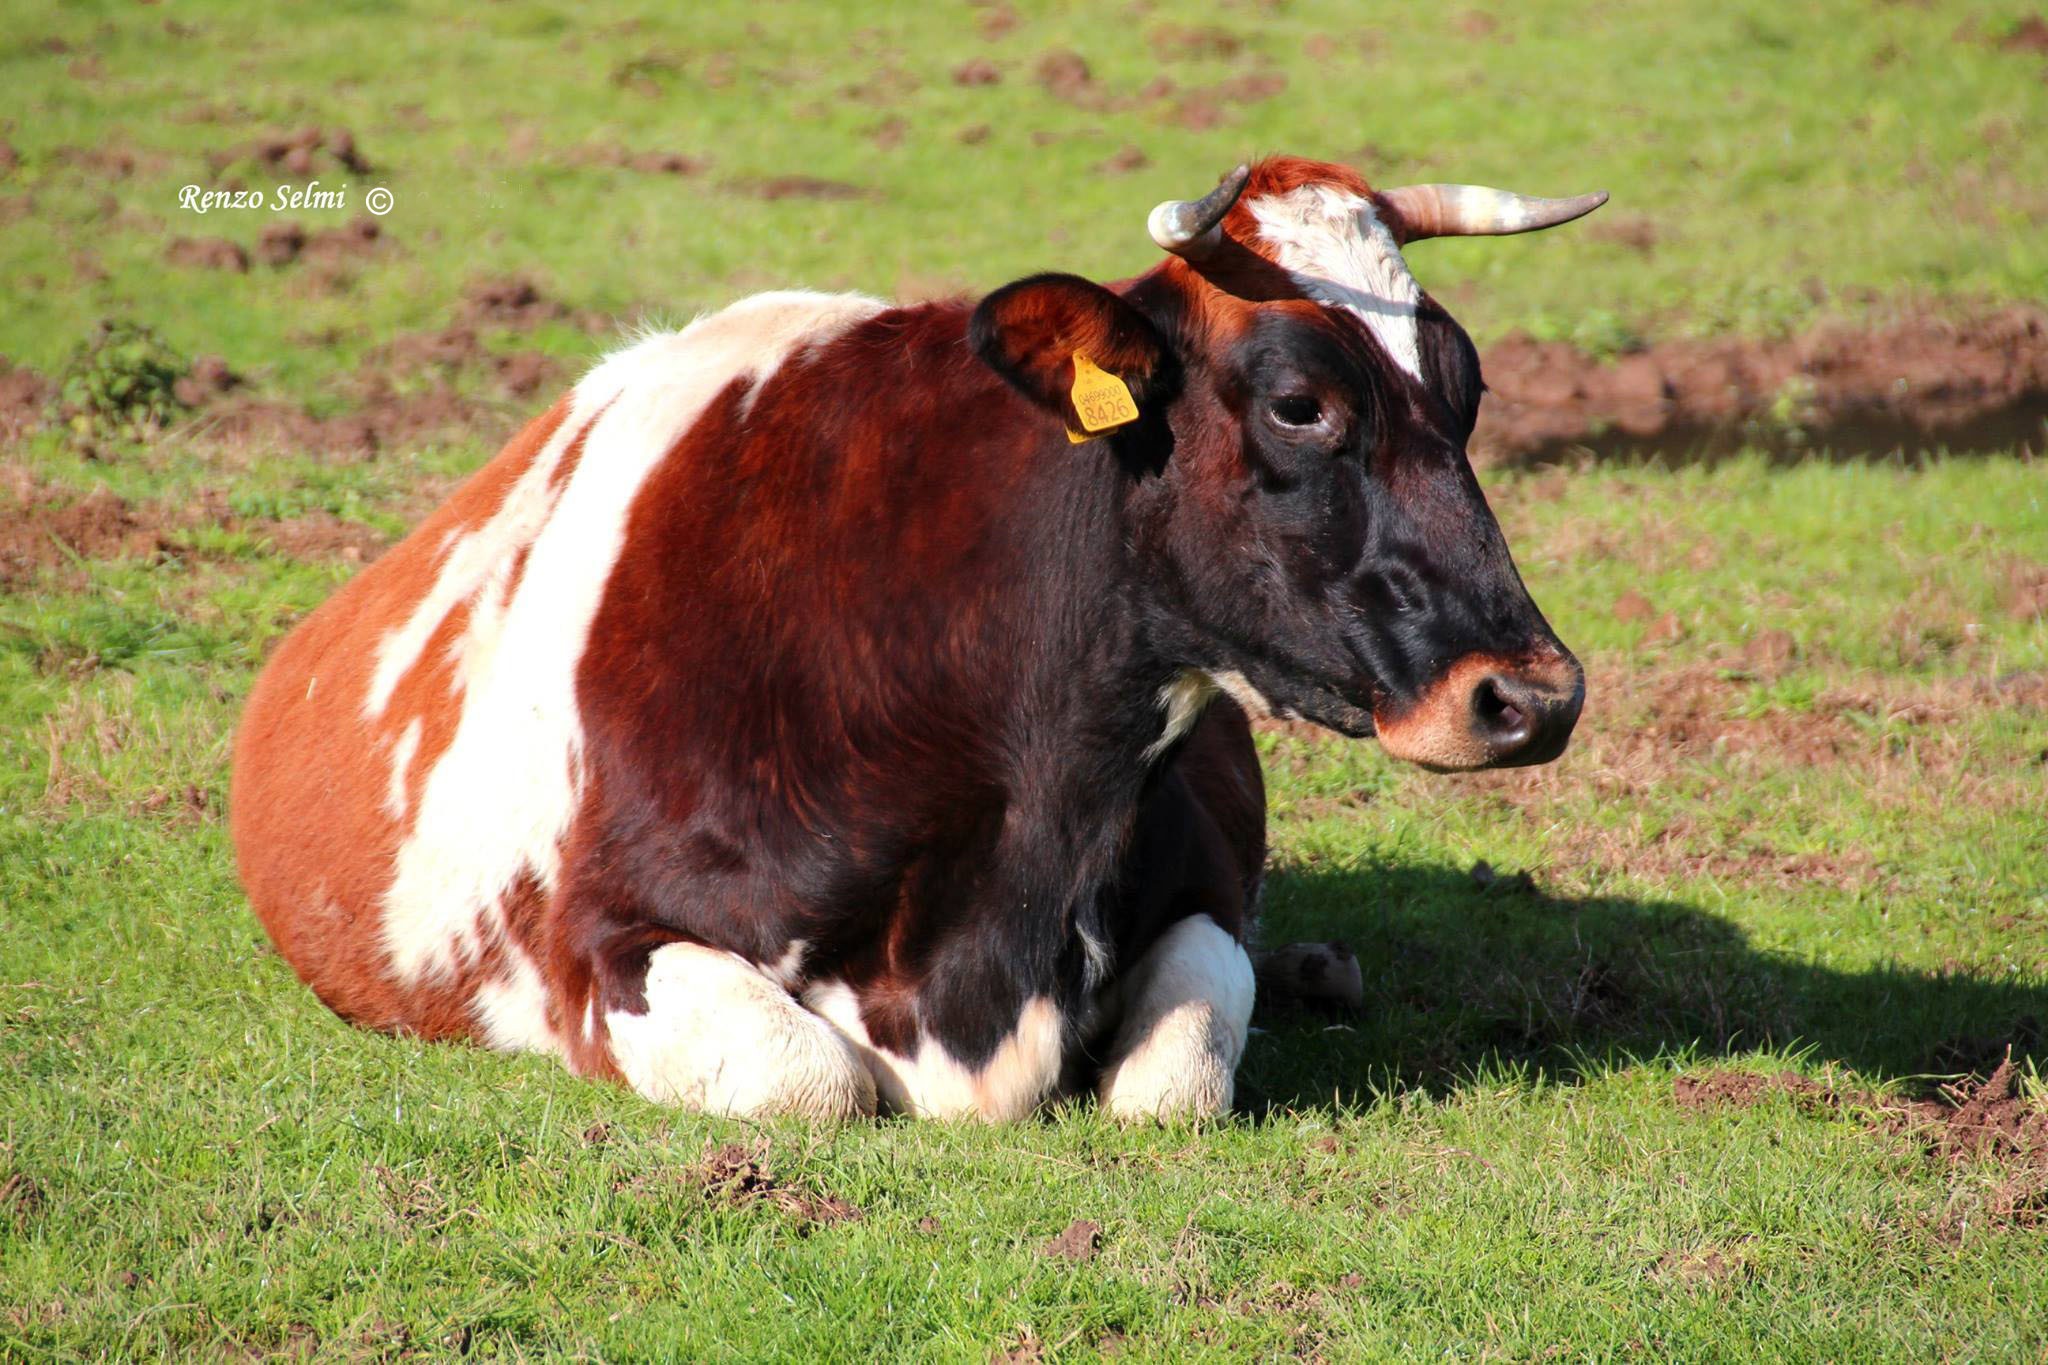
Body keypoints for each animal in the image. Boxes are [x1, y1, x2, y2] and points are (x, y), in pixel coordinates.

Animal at [231, 156, 1600, 1121]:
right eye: (1299, 404)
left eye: (1467, 389)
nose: (1531, 696)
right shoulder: (599, 942)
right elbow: (812, 1082)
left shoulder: (1205, 888)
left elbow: (1171, 1083)